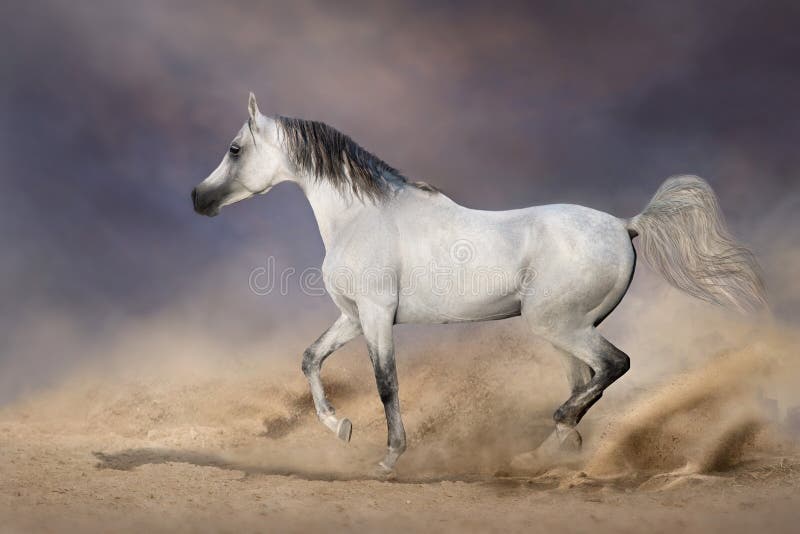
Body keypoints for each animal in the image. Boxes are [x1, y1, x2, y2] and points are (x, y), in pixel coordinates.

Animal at [191, 93, 766, 474]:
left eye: (235, 148)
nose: (199, 199)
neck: (361, 216)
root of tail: (626, 224)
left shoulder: (376, 316)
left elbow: (386, 383)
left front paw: (389, 458)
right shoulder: (354, 316)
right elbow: (311, 359)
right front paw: (342, 429)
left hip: (557, 325)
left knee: (611, 367)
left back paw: (545, 445)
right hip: (568, 329)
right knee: (585, 381)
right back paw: (547, 455)